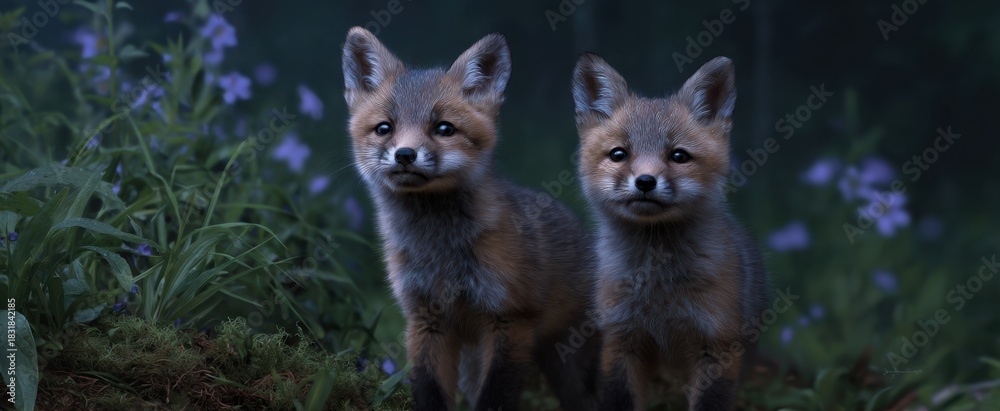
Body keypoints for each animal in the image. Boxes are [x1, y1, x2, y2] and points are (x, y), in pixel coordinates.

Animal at [342, 27, 601, 411]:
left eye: (444, 128)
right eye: (385, 128)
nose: (405, 154)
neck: (441, 255)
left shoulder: (511, 319)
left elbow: (495, 396)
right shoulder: (424, 320)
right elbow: (430, 389)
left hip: (567, 362)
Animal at [571, 54, 770, 411]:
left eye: (678, 156)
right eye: (619, 154)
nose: (645, 182)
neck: (658, 288)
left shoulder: (717, 343)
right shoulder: (621, 338)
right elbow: (620, 398)